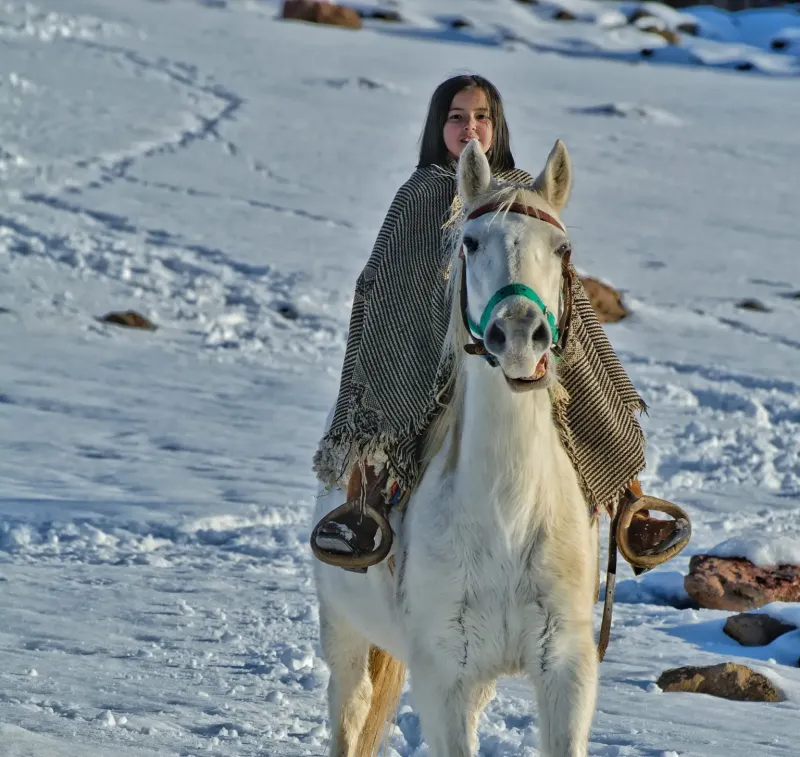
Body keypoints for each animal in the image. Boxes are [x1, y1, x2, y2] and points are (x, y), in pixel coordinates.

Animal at [312, 139, 600, 756]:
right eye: (470, 242)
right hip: (343, 632)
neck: (508, 516)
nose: (519, 336)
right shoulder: (445, 675)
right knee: (351, 713)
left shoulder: (566, 668)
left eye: (561, 247)